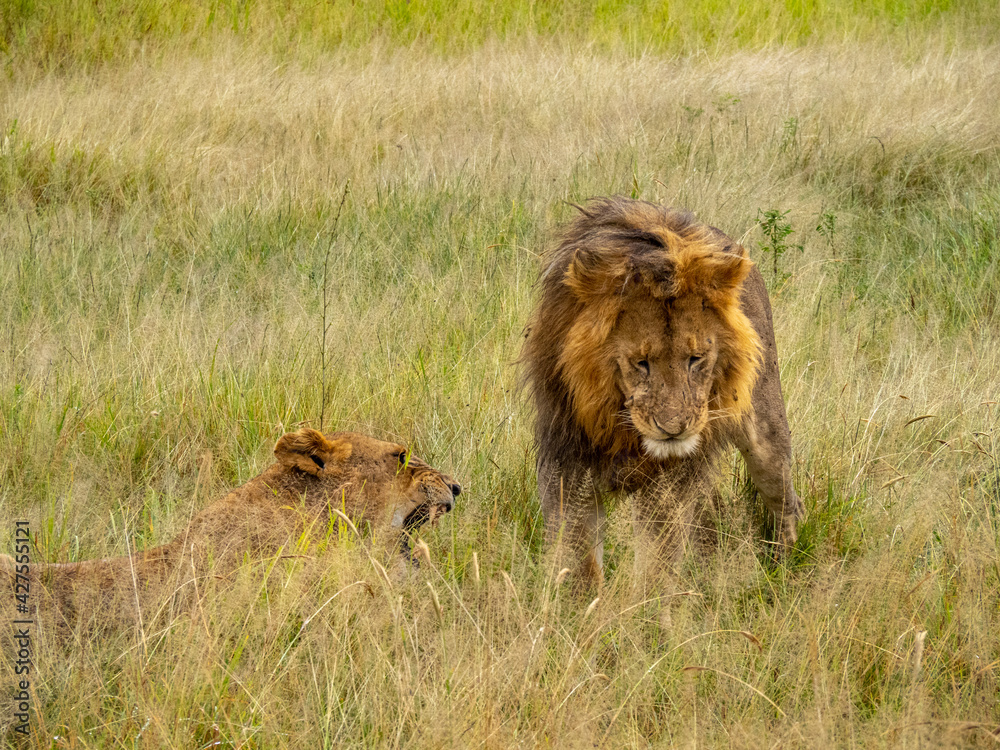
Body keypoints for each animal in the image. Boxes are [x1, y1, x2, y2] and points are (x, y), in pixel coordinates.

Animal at [521, 197, 805, 599]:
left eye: (696, 358)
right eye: (641, 362)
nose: (674, 429)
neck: (621, 428)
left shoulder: (669, 484)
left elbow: (657, 562)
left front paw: (646, 611)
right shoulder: (566, 464)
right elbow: (576, 558)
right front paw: (580, 607)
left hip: (767, 434)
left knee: (786, 502)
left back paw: (778, 574)